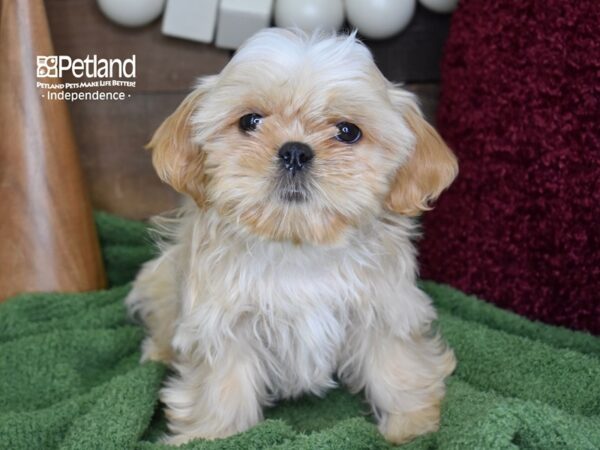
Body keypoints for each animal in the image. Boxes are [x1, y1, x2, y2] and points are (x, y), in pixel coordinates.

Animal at [125, 29, 454, 446]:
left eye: (348, 131)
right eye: (250, 121)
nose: (295, 151)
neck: (297, 242)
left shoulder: (383, 308)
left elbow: (396, 366)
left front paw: (412, 426)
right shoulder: (224, 325)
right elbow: (222, 387)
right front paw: (214, 436)